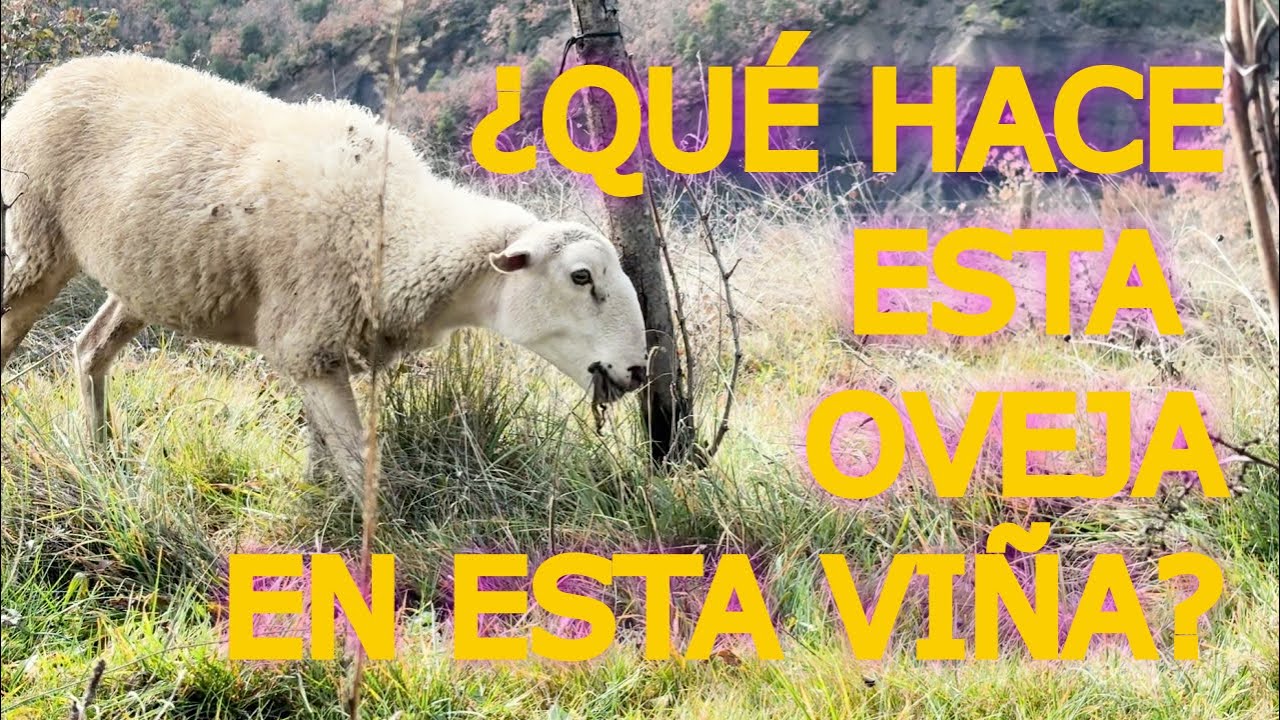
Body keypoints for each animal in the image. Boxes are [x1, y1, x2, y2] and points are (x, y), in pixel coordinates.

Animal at [1, 53, 649, 492]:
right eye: (582, 277)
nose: (639, 371)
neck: (398, 226)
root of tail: (52, 77)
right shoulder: (307, 341)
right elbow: (359, 465)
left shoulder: (318, 353)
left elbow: (322, 451)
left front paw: (317, 508)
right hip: (35, 243)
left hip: (145, 278)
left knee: (90, 349)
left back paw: (101, 459)